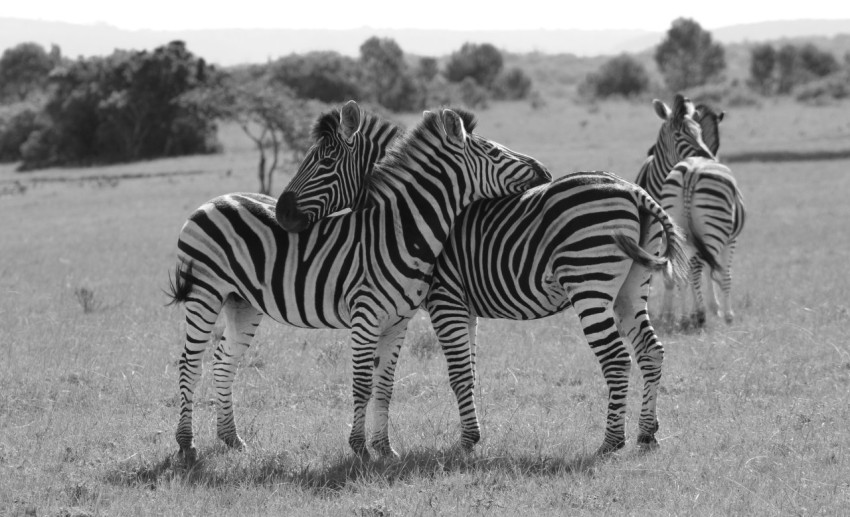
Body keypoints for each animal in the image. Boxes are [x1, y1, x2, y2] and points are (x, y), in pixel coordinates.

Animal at [166, 101, 551, 462]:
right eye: (495, 153)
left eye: (324, 161)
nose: (545, 171)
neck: (401, 231)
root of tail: (212, 202)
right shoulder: (376, 316)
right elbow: (366, 384)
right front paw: (360, 448)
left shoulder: (399, 321)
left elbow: (387, 384)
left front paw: (385, 448)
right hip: (204, 293)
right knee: (190, 363)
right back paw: (186, 445)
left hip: (242, 302)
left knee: (223, 362)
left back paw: (231, 439)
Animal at [279, 112, 691, 455]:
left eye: (324, 162)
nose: (281, 213)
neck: (411, 219)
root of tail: (633, 190)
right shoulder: (465, 307)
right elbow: (471, 371)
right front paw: (474, 435)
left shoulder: (445, 300)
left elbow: (459, 373)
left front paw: (466, 443)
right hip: (630, 289)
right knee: (651, 350)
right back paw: (646, 433)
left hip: (589, 283)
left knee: (617, 358)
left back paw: (610, 441)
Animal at [660, 157, 746, 326]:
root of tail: (692, 171)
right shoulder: (731, 241)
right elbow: (725, 275)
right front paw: (728, 315)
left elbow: (696, 274)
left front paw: (699, 310)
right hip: (714, 230)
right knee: (696, 269)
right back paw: (700, 315)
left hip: (678, 230)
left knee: (684, 272)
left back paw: (685, 318)